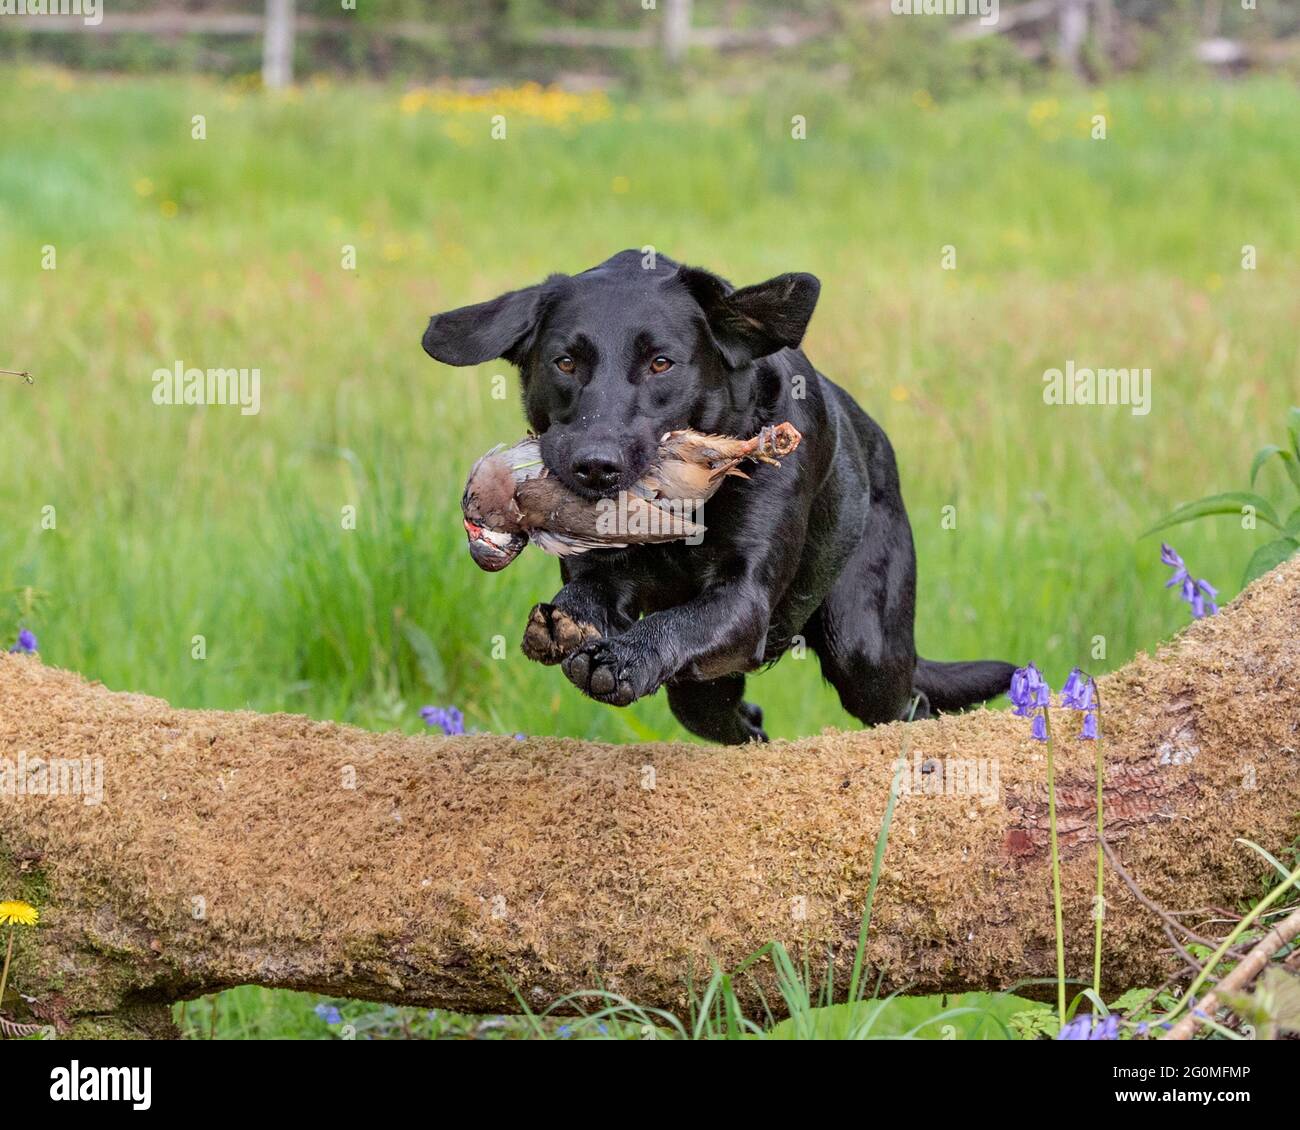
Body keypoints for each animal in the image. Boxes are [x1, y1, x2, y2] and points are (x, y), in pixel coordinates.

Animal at [423, 249, 1013, 738]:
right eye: (565, 362)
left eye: (661, 363)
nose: (596, 466)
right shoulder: (600, 567)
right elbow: (590, 593)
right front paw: (565, 622)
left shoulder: (744, 598)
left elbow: (679, 621)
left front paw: (626, 658)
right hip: (703, 694)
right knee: (734, 720)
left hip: (864, 650)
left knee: (911, 704)